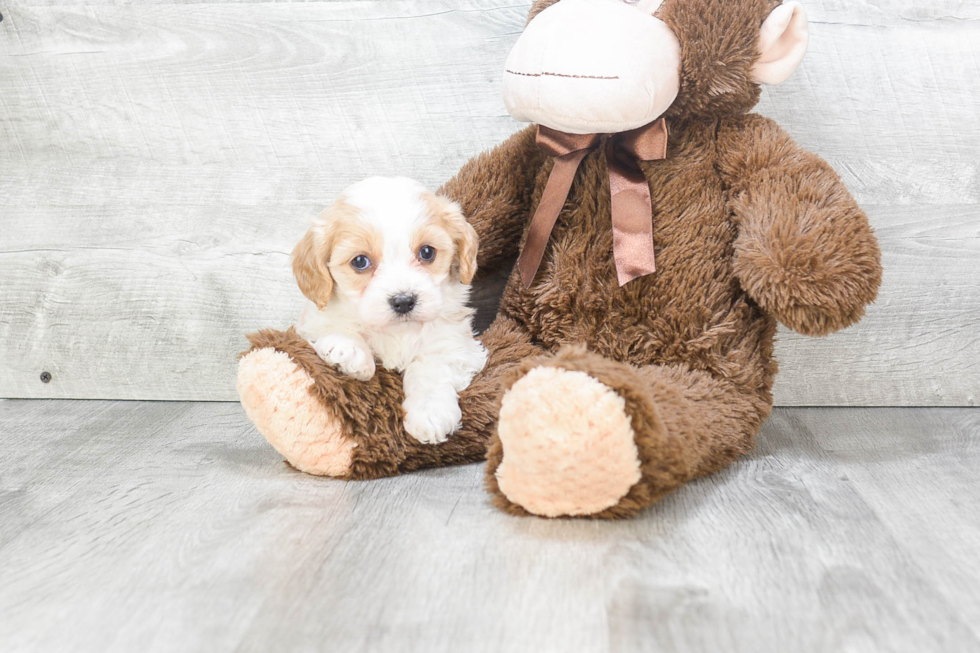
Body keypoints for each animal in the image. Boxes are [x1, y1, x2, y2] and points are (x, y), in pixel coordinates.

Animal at [290, 177, 490, 444]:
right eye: (360, 261)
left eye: (427, 252)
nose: (403, 301)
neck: (397, 331)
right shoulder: (312, 322)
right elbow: (337, 327)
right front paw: (349, 350)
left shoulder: (457, 344)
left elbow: (429, 365)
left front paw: (430, 413)